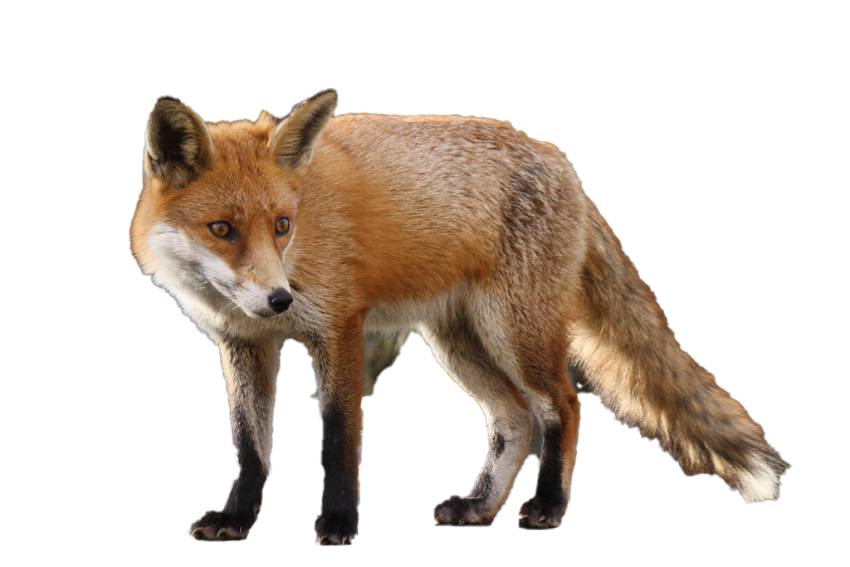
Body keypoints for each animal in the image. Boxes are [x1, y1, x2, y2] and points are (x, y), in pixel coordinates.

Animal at [129, 87, 791, 546]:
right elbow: (251, 449)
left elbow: (338, 440)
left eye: (282, 225)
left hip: (513, 331)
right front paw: (237, 520)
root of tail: (559, 160)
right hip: (458, 342)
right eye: (222, 229)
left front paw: (339, 523)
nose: (279, 300)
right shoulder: (244, 343)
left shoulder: (338, 328)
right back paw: (479, 509)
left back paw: (548, 509)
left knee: (562, 407)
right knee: (514, 421)